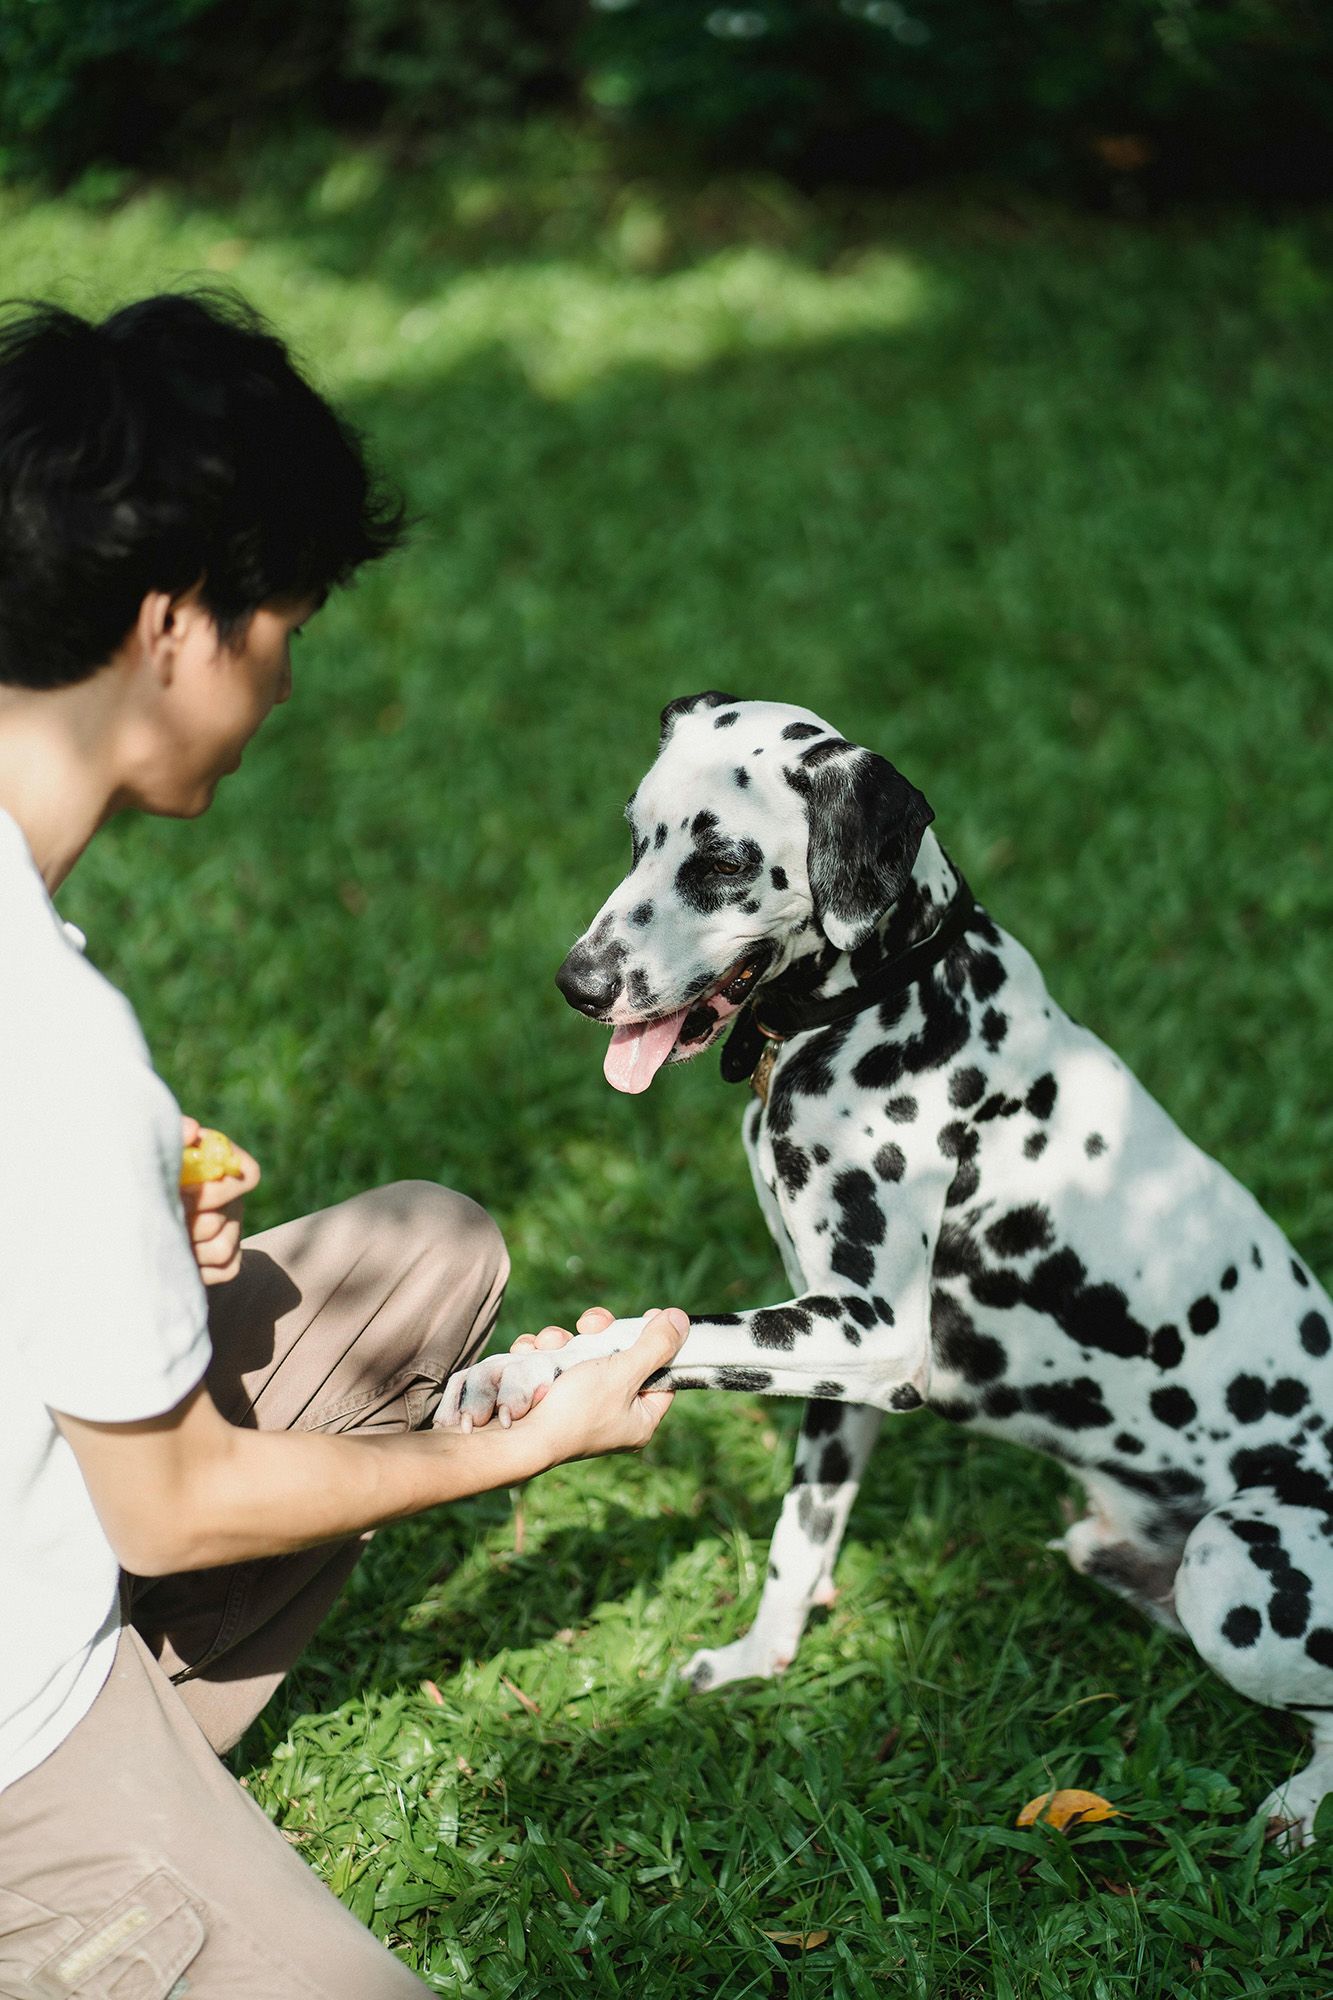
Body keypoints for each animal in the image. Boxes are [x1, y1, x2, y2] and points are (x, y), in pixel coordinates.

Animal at [440, 700, 1328, 1840]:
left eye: (721, 861)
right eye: (635, 837)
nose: (578, 983)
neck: (889, 999)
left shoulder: (867, 1334)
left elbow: (641, 1330)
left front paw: (521, 1367)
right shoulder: (826, 1362)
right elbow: (796, 1542)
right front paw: (757, 1661)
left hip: (1233, 1566)